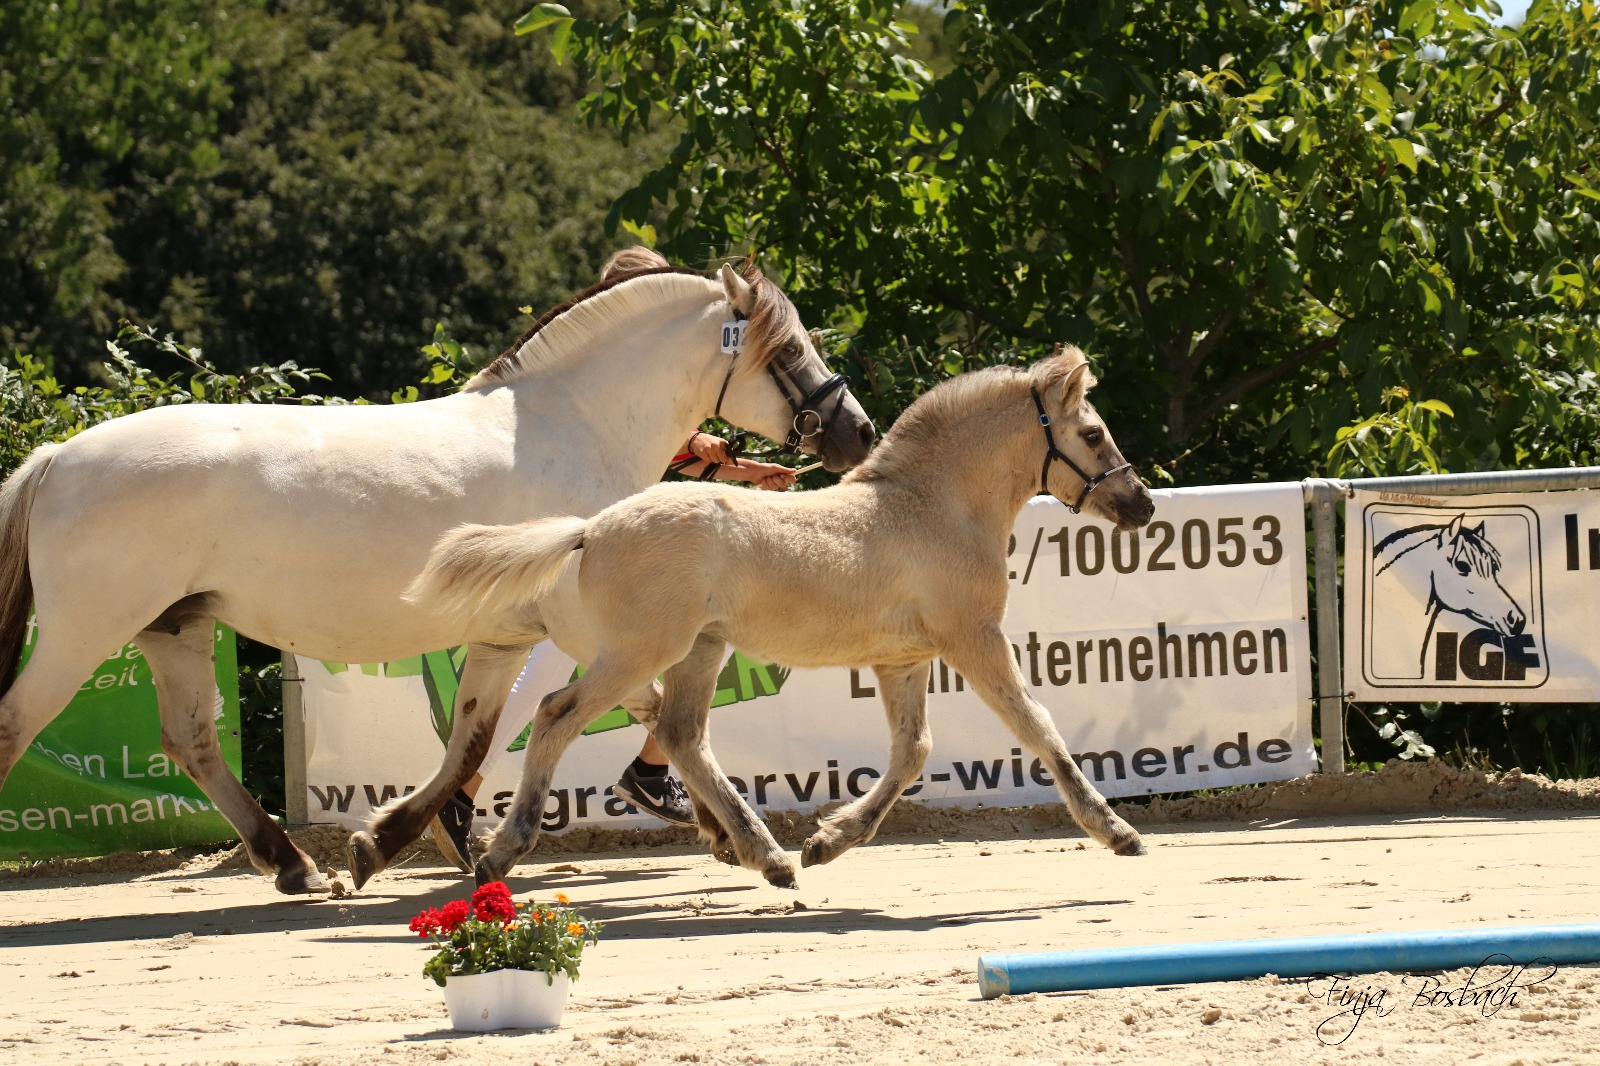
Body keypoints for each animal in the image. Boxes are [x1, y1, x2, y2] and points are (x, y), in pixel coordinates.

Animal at [0, 253, 875, 895]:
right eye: (788, 351)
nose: (857, 432)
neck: (569, 430)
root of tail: (55, 459)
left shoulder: (505, 634)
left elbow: (471, 738)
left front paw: (387, 841)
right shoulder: (587, 632)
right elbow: (643, 714)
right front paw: (716, 826)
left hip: (175, 628)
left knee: (190, 743)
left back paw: (292, 862)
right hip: (86, 633)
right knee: (18, 723)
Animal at [407, 345, 1156, 889]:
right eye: (1092, 432)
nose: (1142, 505)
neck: (933, 508)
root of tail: (589, 529)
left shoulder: (903, 658)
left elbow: (912, 750)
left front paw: (828, 841)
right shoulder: (972, 637)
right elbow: (1036, 724)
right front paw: (1115, 831)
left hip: (697, 651)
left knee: (682, 735)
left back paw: (768, 856)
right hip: (639, 653)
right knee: (558, 716)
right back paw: (501, 852)